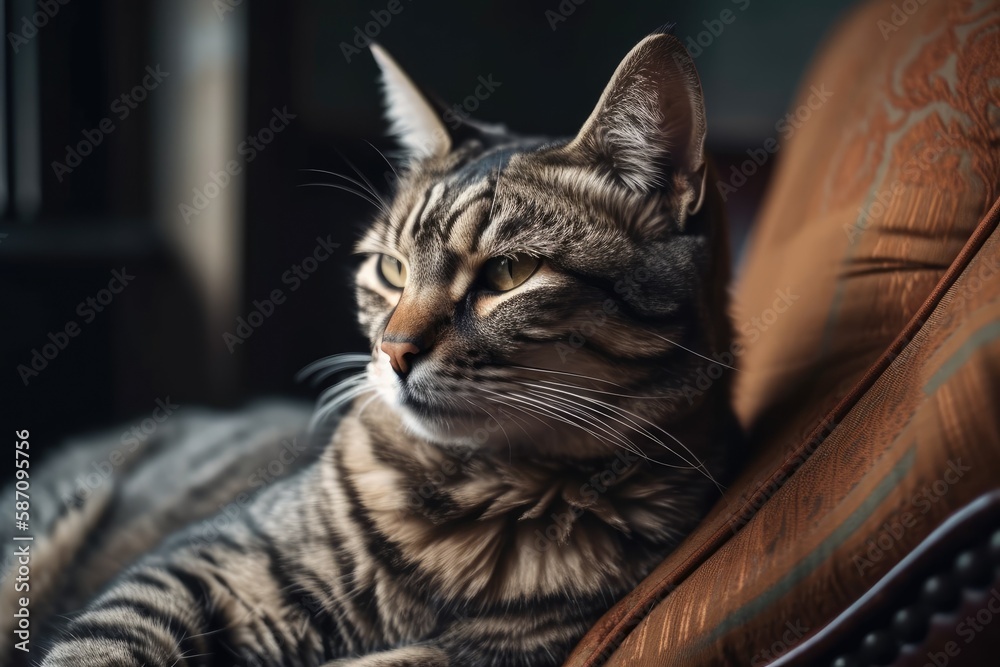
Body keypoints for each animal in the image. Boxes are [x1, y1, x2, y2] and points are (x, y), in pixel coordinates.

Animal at [9, 27, 744, 667]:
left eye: (509, 274)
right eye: (391, 269)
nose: (393, 351)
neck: (468, 499)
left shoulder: (495, 651)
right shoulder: (196, 562)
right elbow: (103, 642)